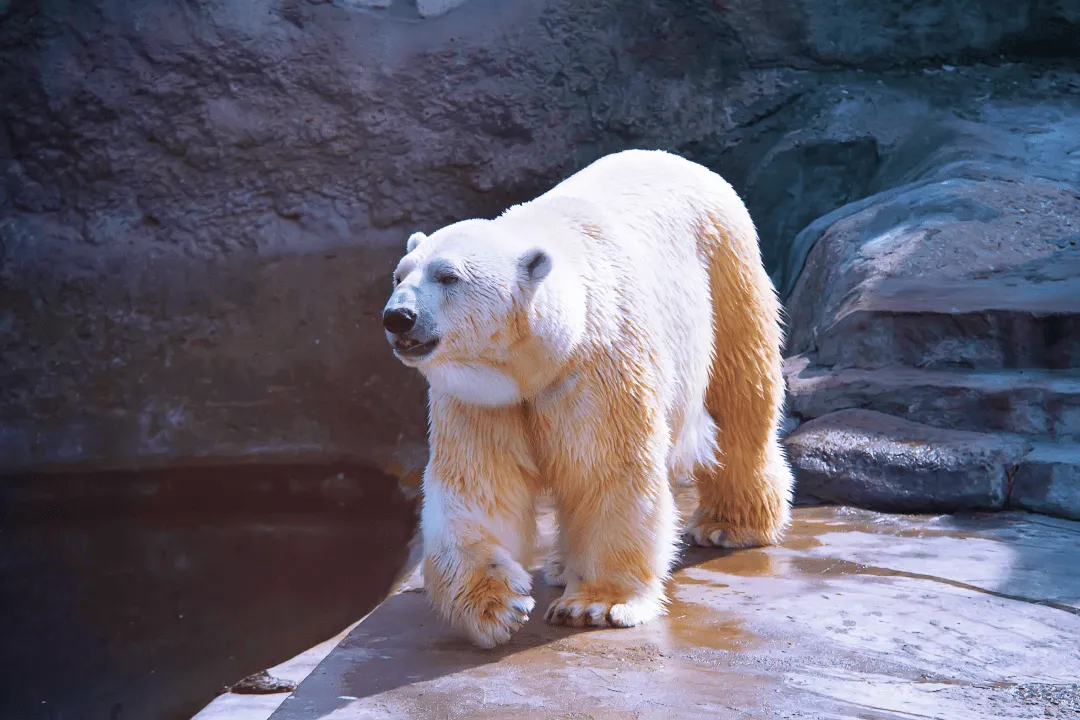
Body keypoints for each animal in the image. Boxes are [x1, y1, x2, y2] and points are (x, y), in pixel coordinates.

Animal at [381, 149, 793, 648]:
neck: (538, 360)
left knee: (741, 394)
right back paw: (561, 565)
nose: (398, 317)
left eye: (447, 276)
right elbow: (479, 488)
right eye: (399, 275)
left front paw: (596, 604)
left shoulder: (597, 366)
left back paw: (730, 525)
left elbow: (607, 469)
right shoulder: (481, 399)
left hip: (726, 269)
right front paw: (497, 606)